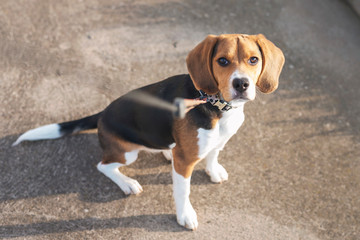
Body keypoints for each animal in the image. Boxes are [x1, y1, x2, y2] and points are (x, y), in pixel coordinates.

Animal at [13, 34, 284, 231]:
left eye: (253, 60)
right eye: (222, 61)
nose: (241, 84)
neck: (216, 104)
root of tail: (102, 114)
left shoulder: (218, 141)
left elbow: (213, 154)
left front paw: (213, 170)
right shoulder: (184, 161)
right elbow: (183, 191)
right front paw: (185, 215)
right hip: (127, 153)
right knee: (103, 165)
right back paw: (127, 183)